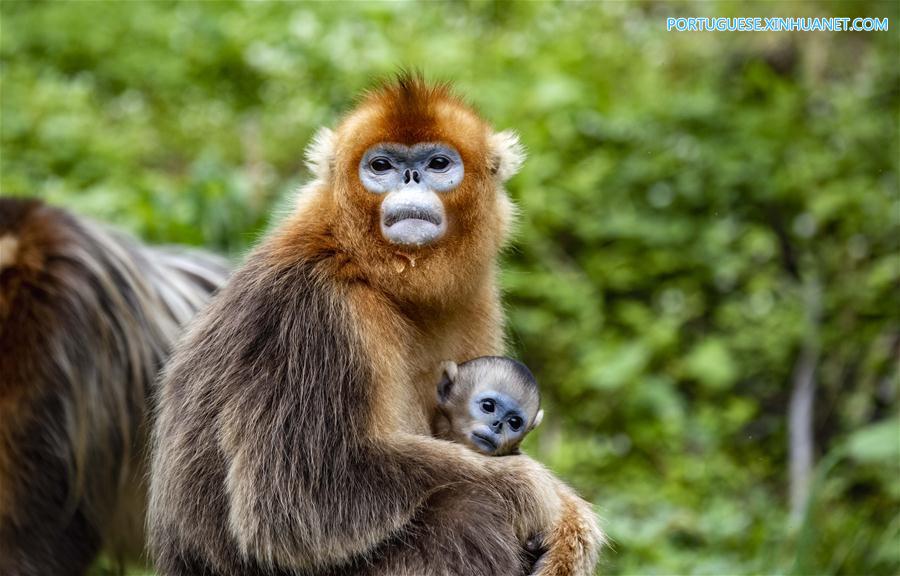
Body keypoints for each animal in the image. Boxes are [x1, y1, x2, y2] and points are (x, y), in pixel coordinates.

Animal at [149, 74, 603, 576]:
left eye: (438, 163)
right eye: (381, 165)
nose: (411, 177)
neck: (363, 265)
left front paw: (571, 528)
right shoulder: (316, 311)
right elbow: (295, 502)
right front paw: (531, 488)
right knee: (467, 510)